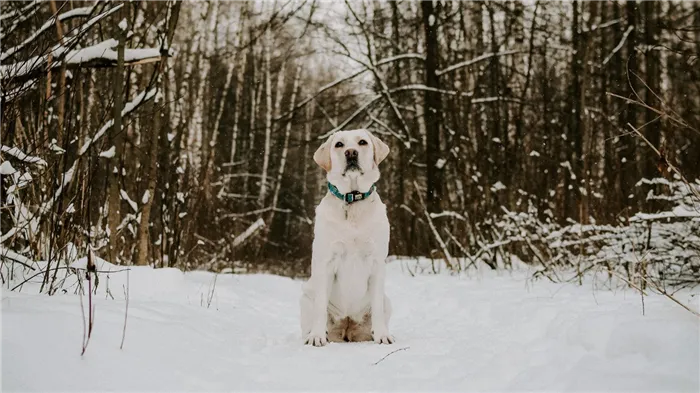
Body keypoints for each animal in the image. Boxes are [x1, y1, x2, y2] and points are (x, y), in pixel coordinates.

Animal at [300, 129, 396, 346]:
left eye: (362, 142)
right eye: (339, 145)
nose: (351, 153)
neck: (352, 202)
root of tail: (347, 325)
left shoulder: (377, 262)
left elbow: (377, 307)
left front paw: (382, 335)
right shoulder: (326, 261)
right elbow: (320, 307)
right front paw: (317, 336)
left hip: (387, 301)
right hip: (306, 296)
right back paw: (313, 334)